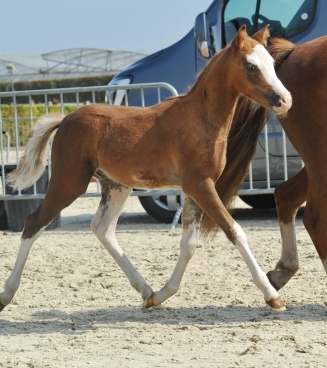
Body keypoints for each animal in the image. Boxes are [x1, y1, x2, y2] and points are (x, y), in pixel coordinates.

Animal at [0, 26, 292, 314]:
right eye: (251, 66)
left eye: (272, 63)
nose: (285, 100)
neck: (199, 117)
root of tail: (65, 119)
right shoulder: (201, 185)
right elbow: (235, 232)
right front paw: (272, 296)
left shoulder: (192, 189)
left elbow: (188, 244)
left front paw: (161, 295)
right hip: (69, 181)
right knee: (33, 223)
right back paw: (7, 293)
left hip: (117, 186)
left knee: (103, 228)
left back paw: (145, 290)